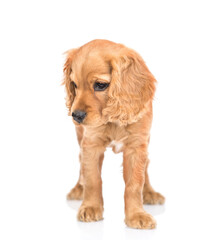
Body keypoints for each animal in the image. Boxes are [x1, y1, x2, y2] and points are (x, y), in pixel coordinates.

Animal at [63, 39, 165, 229]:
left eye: (100, 85)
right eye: (74, 85)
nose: (76, 115)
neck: (113, 119)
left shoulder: (136, 147)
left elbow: (134, 184)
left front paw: (137, 215)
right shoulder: (91, 144)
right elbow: (92, 179)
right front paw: (90, 207)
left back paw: (149, 192)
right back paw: (78, 189)